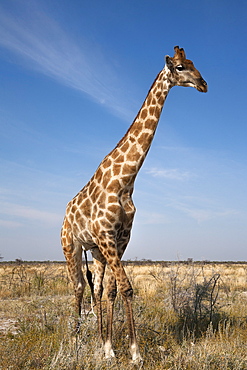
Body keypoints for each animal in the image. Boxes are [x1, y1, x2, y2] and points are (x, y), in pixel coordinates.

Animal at [61, 45, 206, 362]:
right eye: (180, 67)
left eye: (193, 63)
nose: (204, 84)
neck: (126, 180)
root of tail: (65, 215)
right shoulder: (107, 236)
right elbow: (127, 288)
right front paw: (135, 352)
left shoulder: (120, 238)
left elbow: (113, 291)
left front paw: (109, 348)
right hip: (71, 246)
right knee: (77, 286)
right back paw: (74, 340)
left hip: (96, 252)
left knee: (96, 288)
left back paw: (97, 340)